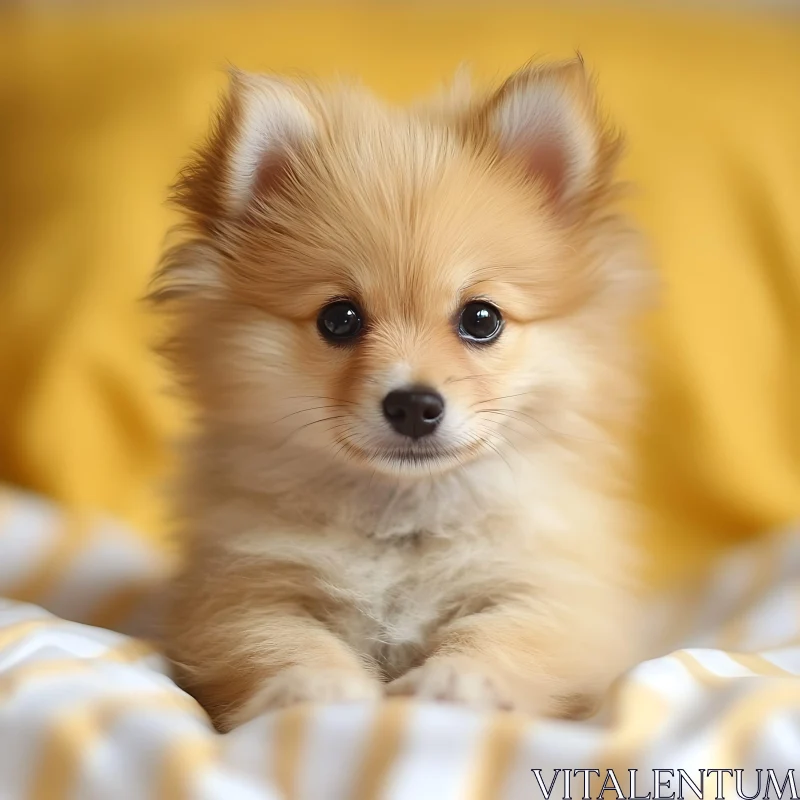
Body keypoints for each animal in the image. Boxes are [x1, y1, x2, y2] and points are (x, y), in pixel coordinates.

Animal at [150, 57, 648, 732]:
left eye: (481, 319)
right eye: (339, 319)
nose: (414, 403)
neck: (401, 521)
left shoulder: (554, 594)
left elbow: (504, 635)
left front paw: (457, 680)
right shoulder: (240, 591)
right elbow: (280, 641)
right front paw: (316, 687)